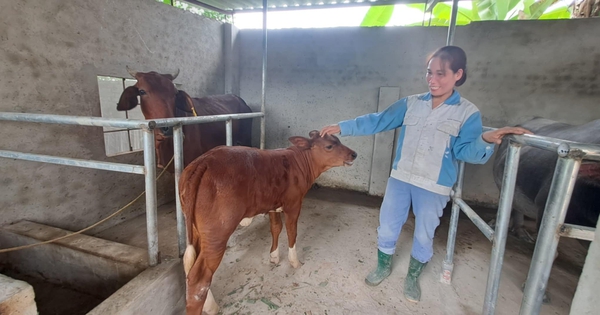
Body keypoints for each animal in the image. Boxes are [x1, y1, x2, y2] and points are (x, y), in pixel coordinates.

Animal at [178, 130, 356, 314]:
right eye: (329, 146)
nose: (354, 154)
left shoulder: (273, 205)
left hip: (198, 230)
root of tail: (203, 161)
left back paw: (211, 305)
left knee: (191, 267)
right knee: (199, 278)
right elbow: (292, 231)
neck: (299, 161)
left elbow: (276, 228)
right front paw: (294, 261)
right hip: (217, 233)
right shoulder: (294, 204)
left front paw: (274, 256)